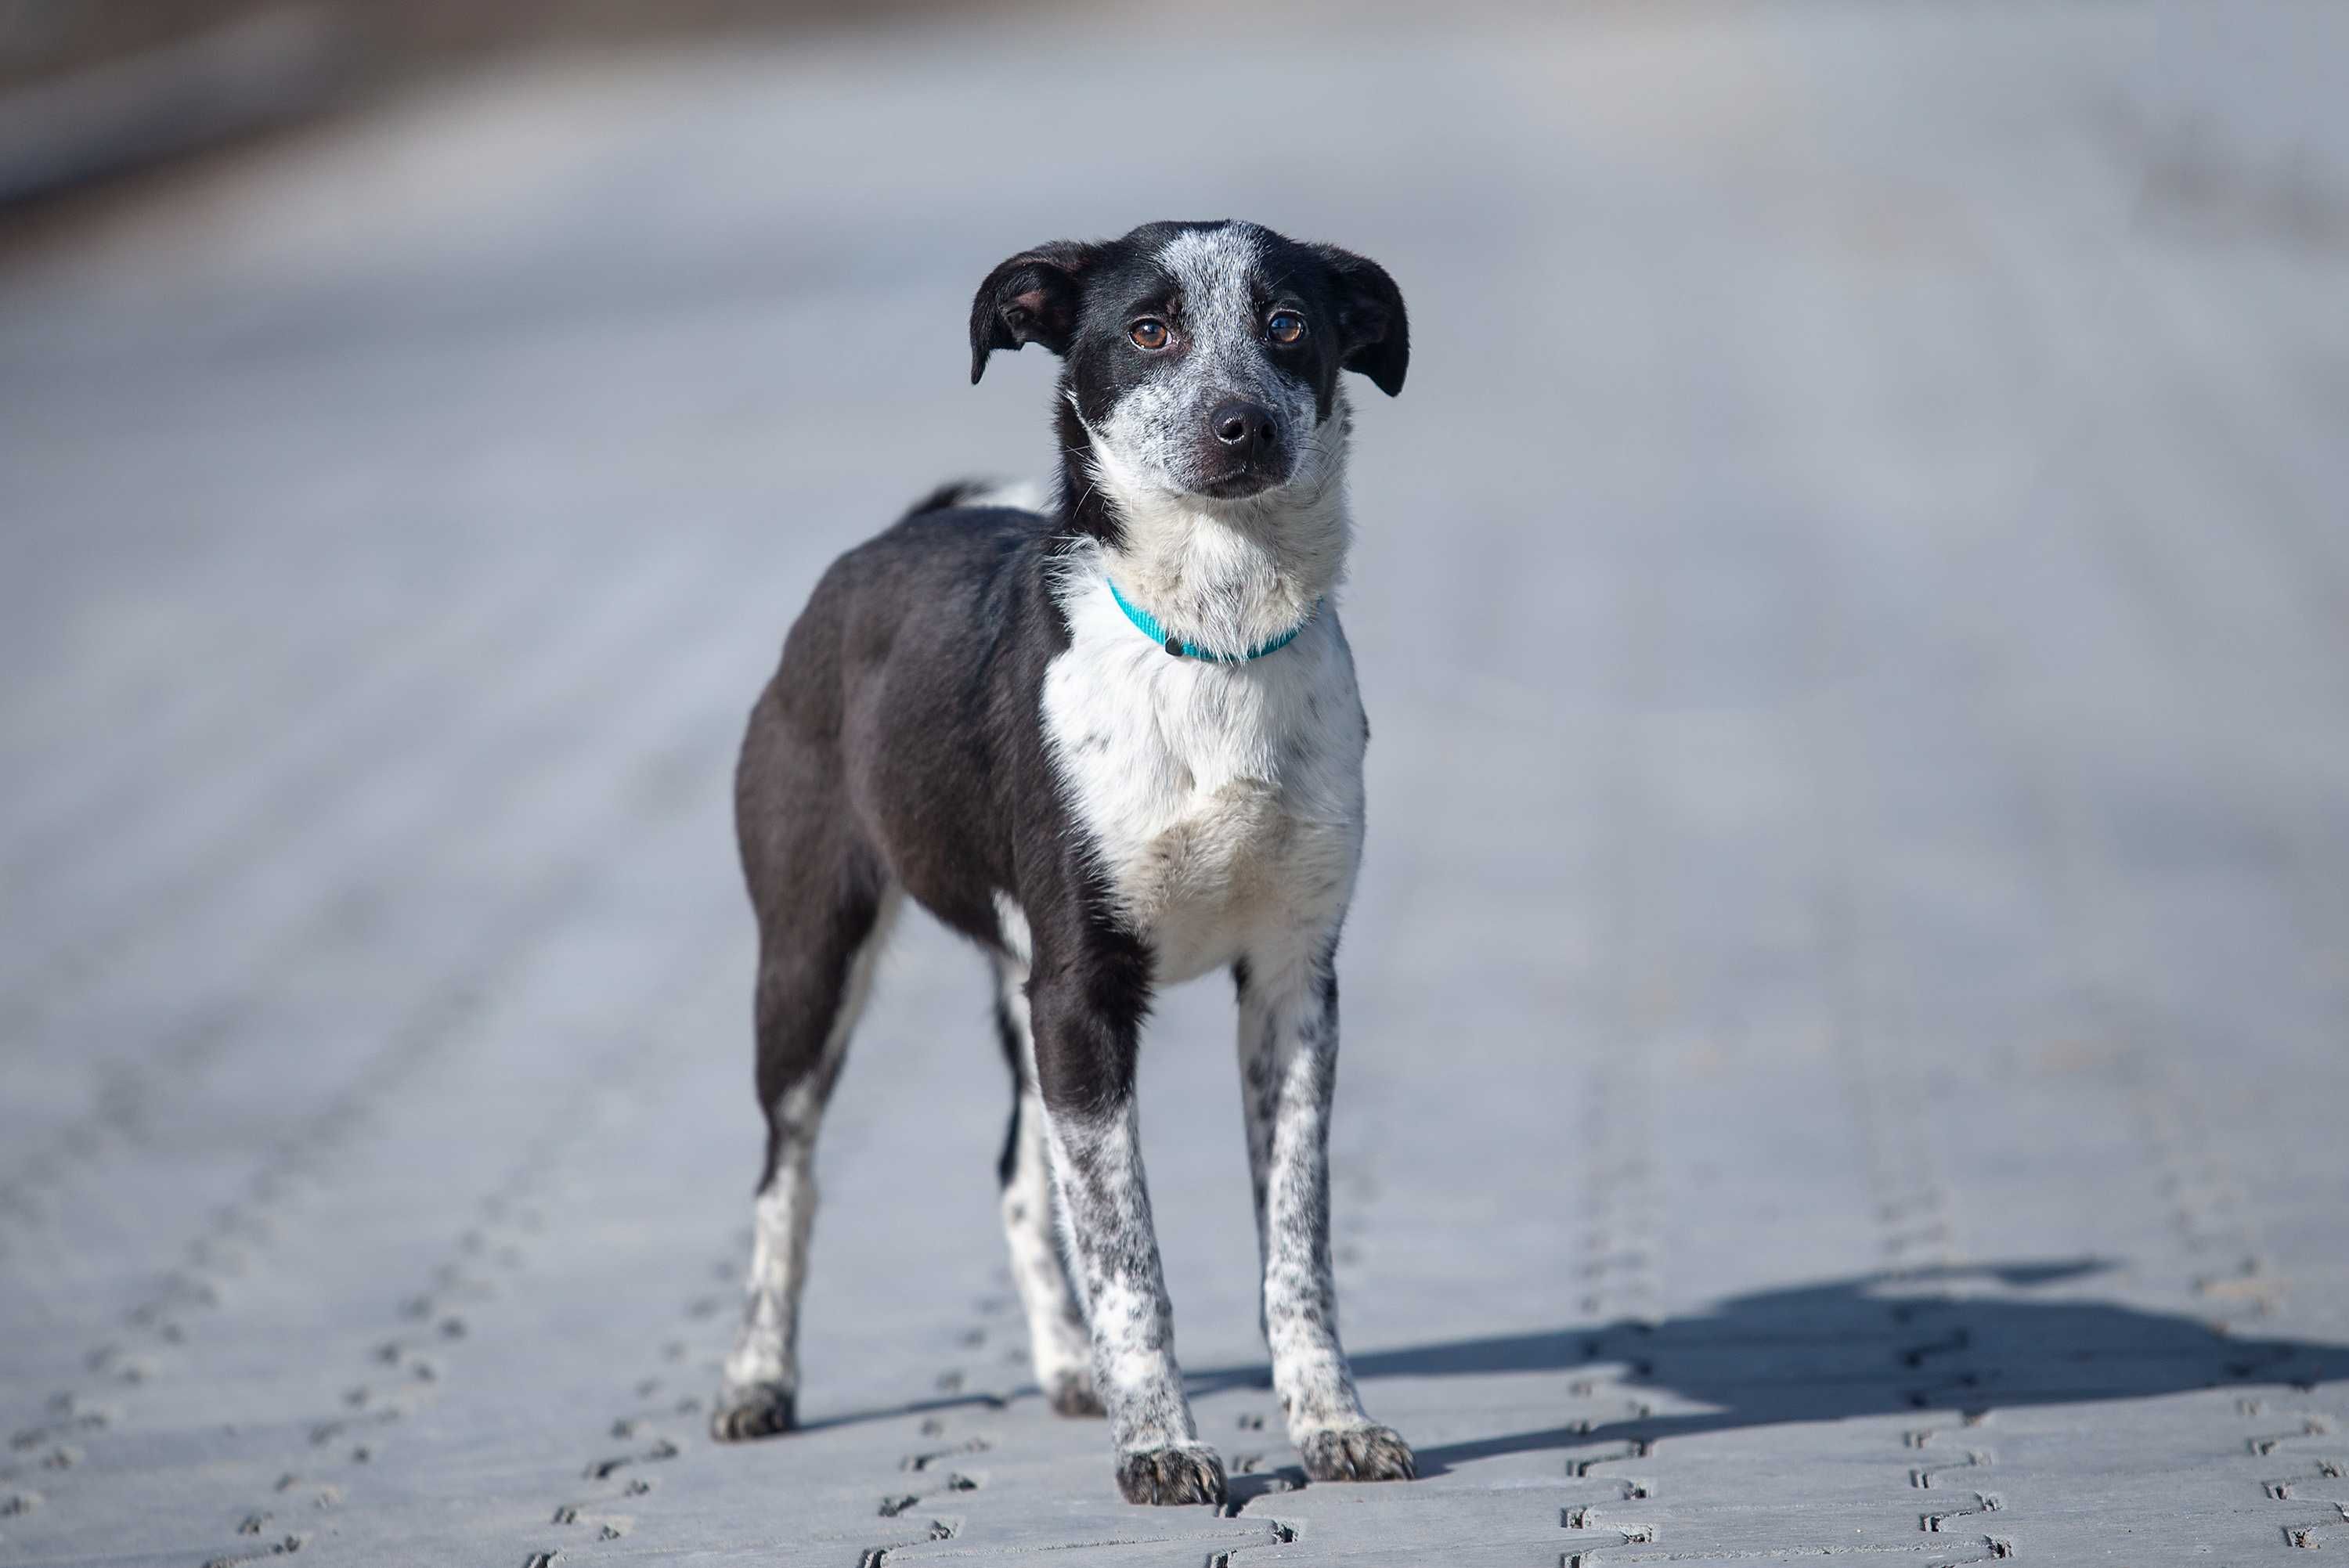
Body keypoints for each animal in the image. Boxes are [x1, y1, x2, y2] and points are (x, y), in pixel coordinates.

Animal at [709, 214, 1409, 1502]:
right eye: (1151, 329)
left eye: (1289, 323)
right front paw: (1163, 1446)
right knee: (788, 1175)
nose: (1243, 422)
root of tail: (891, 535)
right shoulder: (1083, 990)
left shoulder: (1292, 986)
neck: (1213, 640)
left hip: (1020, 987)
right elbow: (1131, 1254)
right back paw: (756, 1378)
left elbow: (1295, 1247)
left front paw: (1333, 1422)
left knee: (1020, 1177)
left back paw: (1068, 1367)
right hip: (809, 959)